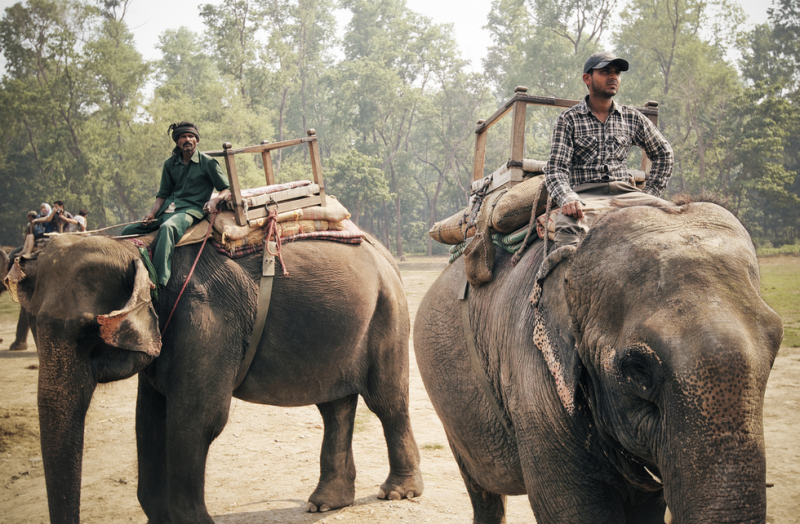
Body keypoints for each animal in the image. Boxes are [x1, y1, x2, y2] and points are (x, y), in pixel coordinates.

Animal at [6, 232, 422, 524]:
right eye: (38, 324)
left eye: (87, 331)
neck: (144, 249)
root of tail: (384, 253)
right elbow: (150, 422)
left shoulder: (208, 322)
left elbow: (197, 420)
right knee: (334, 406)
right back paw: (325, 504)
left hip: (388, 313)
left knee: (387, 402)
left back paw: (397, 493)